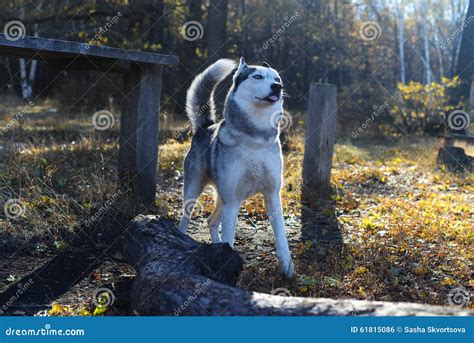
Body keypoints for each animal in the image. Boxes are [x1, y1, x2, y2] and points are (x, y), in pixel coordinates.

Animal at [179, 57, 294, 278]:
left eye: (277, 79)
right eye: (257, 76)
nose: (278, 87)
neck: (255, 139)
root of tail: (206, 126)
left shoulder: (272, 196)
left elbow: (282, 237)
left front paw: (288, 269)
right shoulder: (232, 202)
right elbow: (229, 239)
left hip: (222, 197)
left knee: (211, 221)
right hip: (194, 190)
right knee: (186, 218)